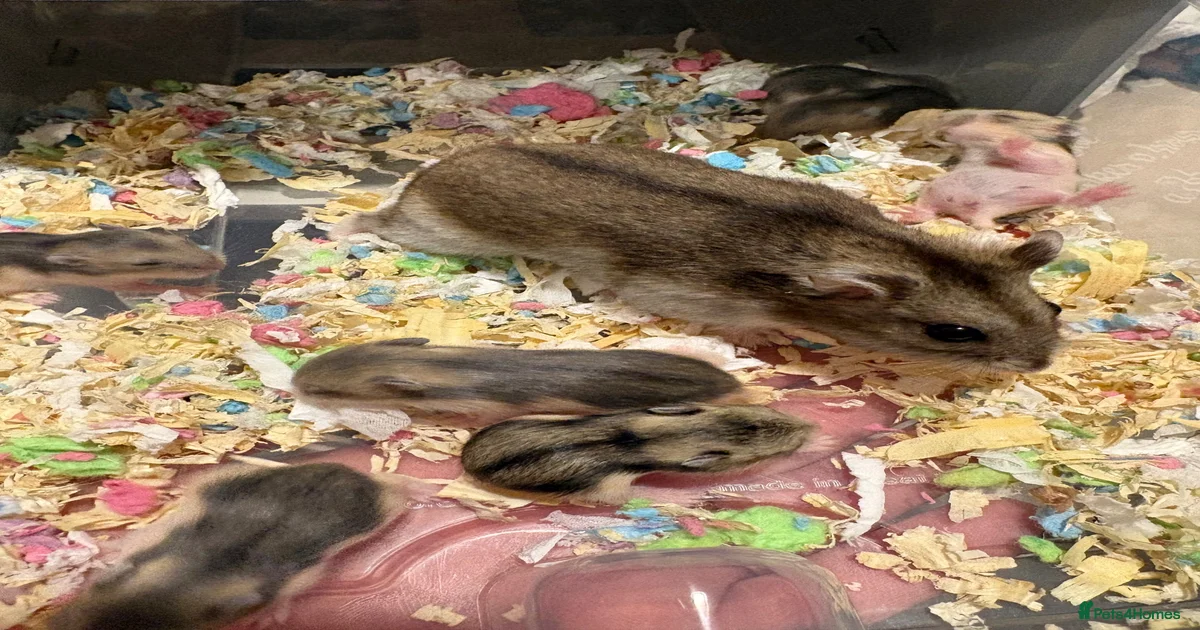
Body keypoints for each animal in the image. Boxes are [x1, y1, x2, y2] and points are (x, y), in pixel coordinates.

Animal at [0, 227, 225, 296]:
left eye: (183, 239)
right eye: (146, 264)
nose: (221, 265)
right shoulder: (117, 283)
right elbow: (159, 286)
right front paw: (208, 289)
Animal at [332, 143, 1066, 372]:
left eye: (1054, 307)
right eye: (954, 333)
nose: (1041, 365)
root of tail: (429, 170)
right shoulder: (685, 295)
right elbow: (744, 324)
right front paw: (769, 337)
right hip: (431, 230)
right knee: (377, 221)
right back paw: (347, 224)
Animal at [460, 404, 816, 504]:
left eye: (761, 410)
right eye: (756, 459)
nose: (811, 428)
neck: (638, 440)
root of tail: (465, 459)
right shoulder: (610, 491)